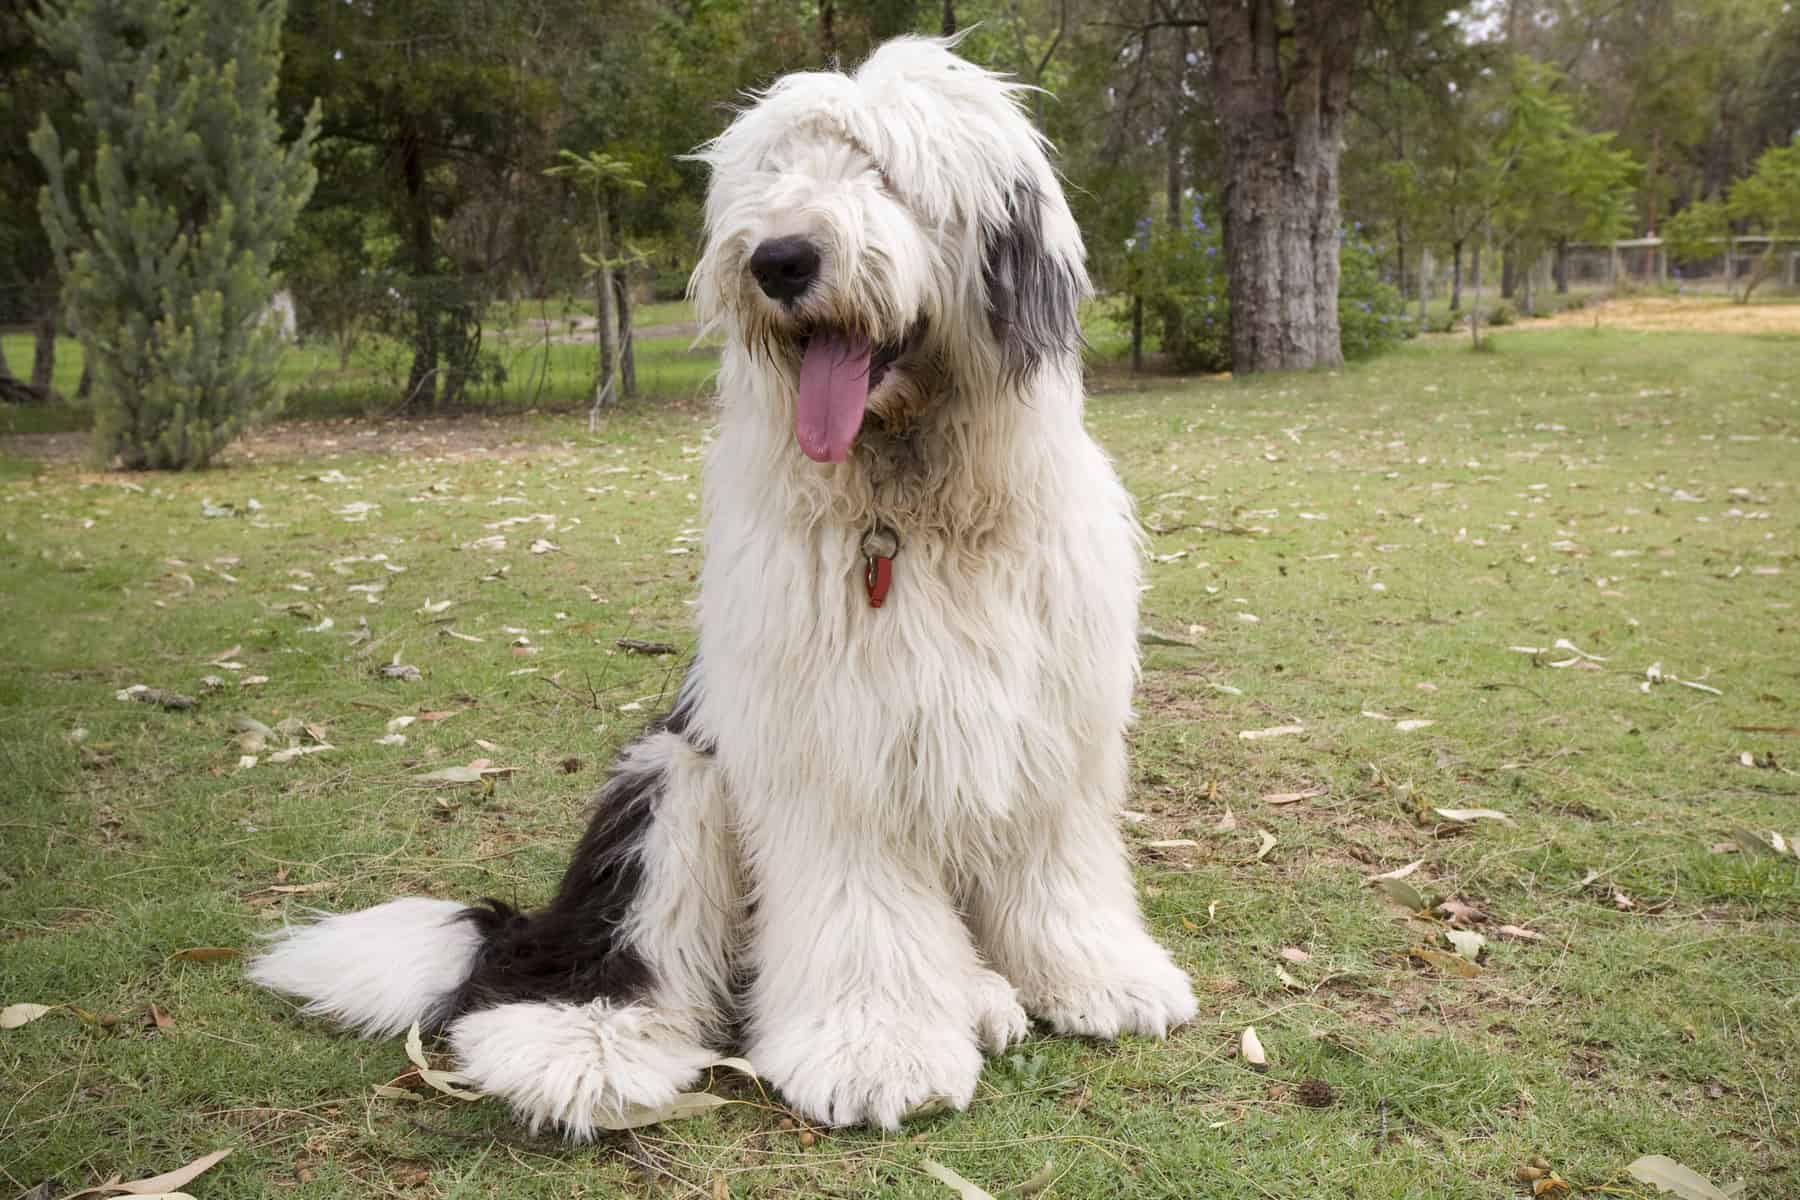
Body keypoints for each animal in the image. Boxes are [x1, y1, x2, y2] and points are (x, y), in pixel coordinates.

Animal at [243, 37, 1195, 1144]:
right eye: (774, 175)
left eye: (886, 174)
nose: (779, 260)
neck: (909, 507)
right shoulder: (829, 743)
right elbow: (860, 903)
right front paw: (876, 1050)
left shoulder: (1052, 724)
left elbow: (1056, 864)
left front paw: (1097, 977)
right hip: (673, 782)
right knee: (609, 956)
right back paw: (583, 1048)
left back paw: (984, 995)